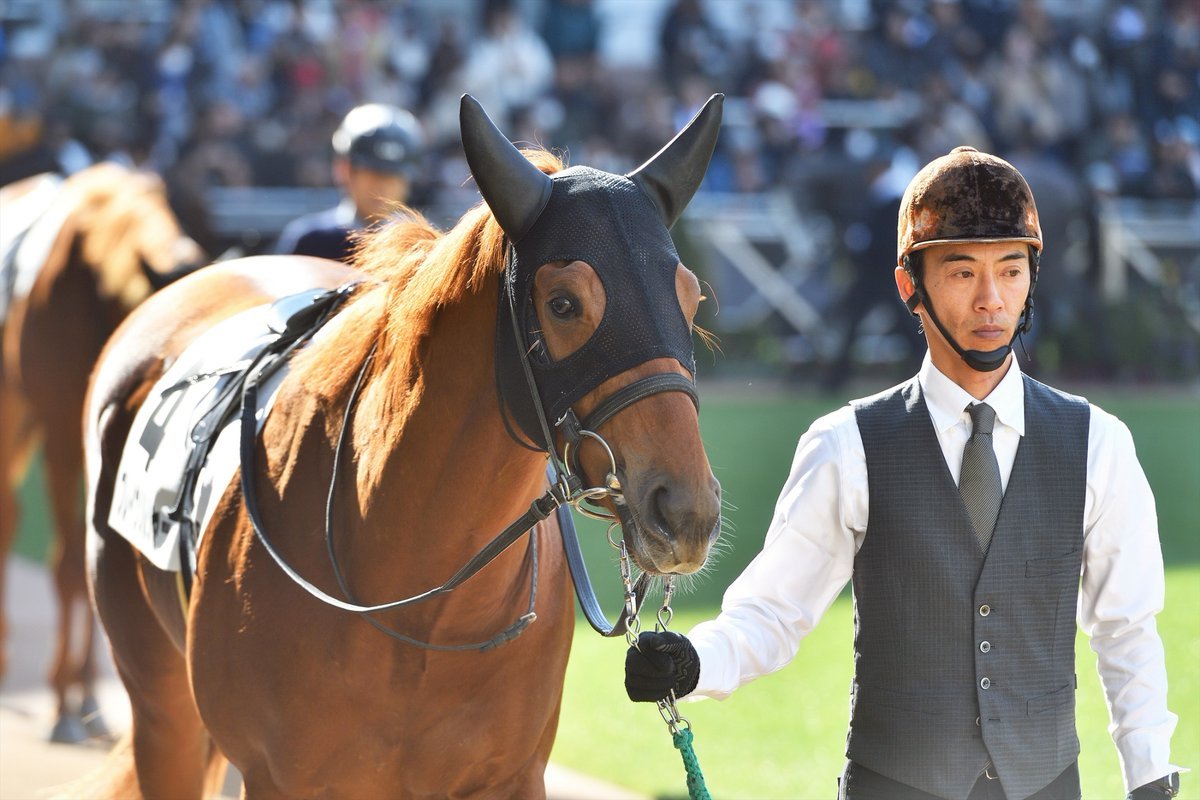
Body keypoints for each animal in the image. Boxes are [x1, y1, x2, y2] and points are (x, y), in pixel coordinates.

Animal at [82, 93, 725, 798]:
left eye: (691, 298)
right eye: (562, 303)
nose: (685, 512)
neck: (423, 614)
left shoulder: (513, 775)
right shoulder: (277, 777)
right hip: (160, 711)